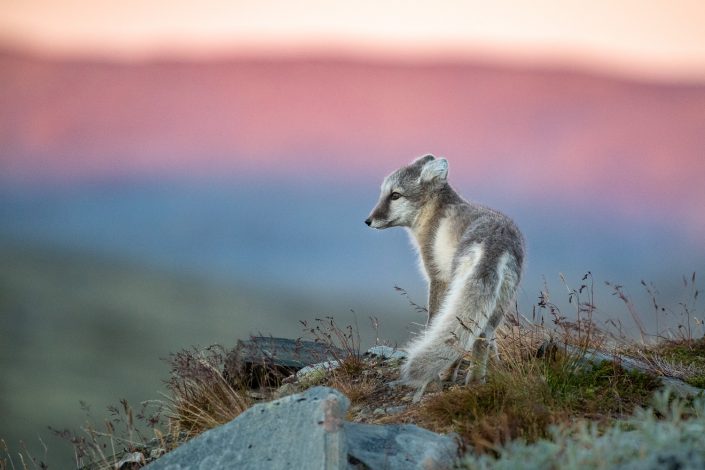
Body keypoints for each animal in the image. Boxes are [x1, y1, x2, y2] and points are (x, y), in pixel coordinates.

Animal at [366, 156, 520, 398]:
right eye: (384, 193)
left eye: (395, 195)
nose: (368, 220)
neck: (434, 213)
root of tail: (495, 242)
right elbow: (493, 343)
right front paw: (498, 368)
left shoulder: (437, 277)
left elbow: (432, 321)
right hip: (499, 302)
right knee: (483, 336)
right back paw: (475, 383)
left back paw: (443, 378)